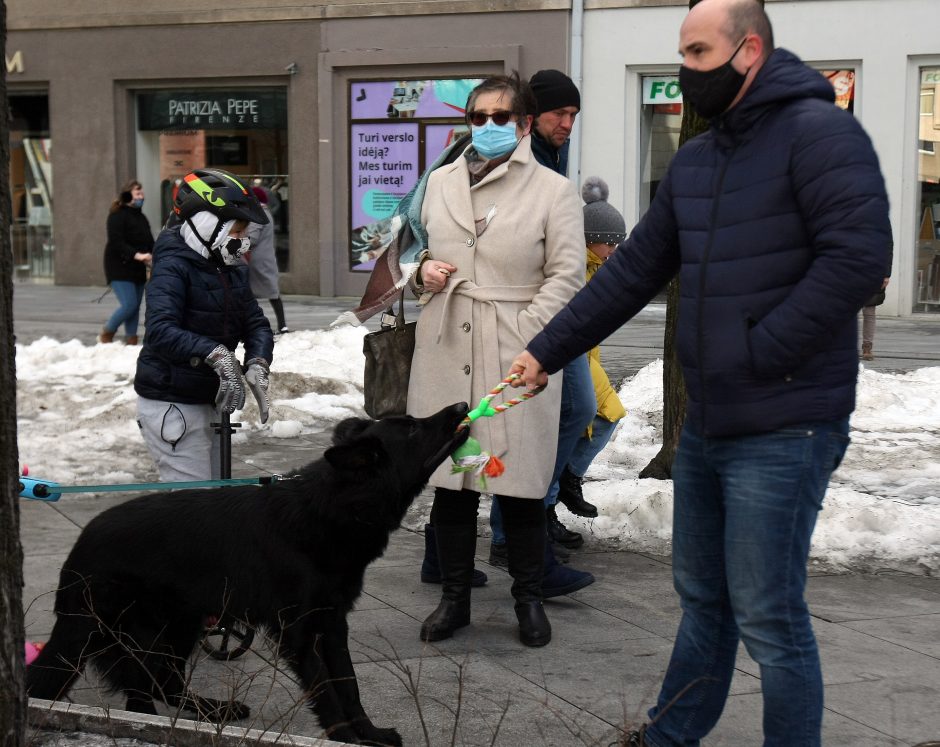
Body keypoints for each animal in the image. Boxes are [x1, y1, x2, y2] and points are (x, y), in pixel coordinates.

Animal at [28, 406, 470, 744]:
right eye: (412, 427)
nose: (461, 406)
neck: (331, 505)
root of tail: (81, 546)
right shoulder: (299, 633)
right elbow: (325, 689)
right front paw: (344, 737)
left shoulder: (332, 622)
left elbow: (348, 682)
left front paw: (370, 733)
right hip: (124, 631)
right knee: (136, 682)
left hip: (178, 625)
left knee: (153, 686)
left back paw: (204, 713)